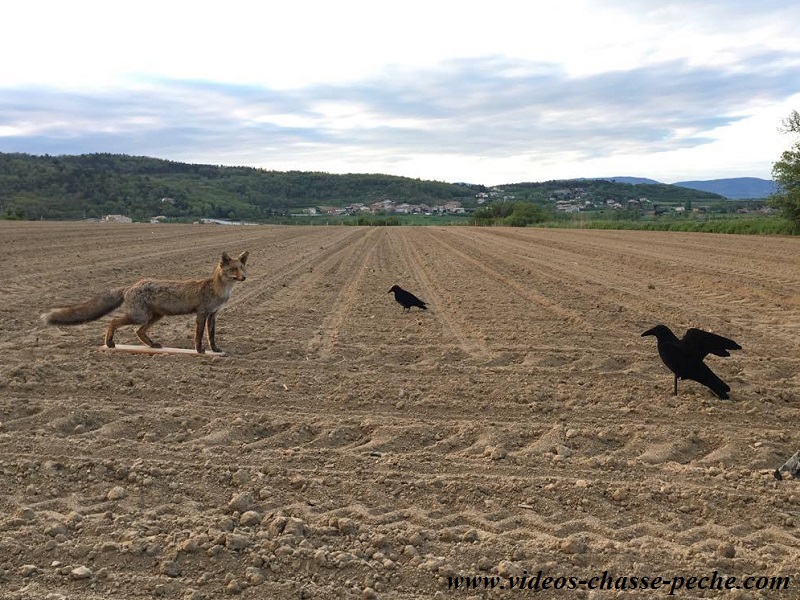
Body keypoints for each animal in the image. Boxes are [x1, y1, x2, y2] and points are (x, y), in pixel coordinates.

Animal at [42, 251, 248, 354]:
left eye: (242, 267)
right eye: (233, 270)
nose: (244, 277)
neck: (219, 290)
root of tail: (131, 285)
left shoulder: (213, 315)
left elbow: (211, 336)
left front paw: (215, 349)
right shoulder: (201, 313)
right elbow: (198, 336)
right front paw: (199, 350)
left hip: (154, 317)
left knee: (138, 332)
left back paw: (151, 345)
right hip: (140, 316)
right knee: (113, 321)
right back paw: (109, 343)